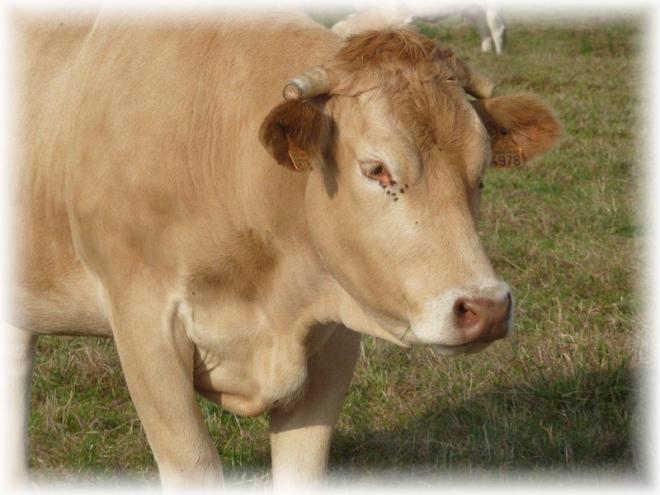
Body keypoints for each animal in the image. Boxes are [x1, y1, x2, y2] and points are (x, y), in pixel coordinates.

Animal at [7, 11, 560, 489]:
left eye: (481, 171)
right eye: (376, 169)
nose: (486, 308)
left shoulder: (334, 338)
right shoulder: (143, 324)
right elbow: (193, 464)